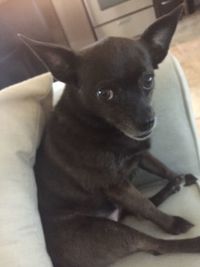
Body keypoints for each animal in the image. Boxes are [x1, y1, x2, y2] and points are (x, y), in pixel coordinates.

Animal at [19, 5, 200, 267]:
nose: (147, 122)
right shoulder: (116, 186)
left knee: (138, 210)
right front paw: (172, 224)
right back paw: (188, 239)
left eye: (148, 79)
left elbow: (161, 168)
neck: (101, 126)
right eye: (104, 94)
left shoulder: (141, 154)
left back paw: (172, 187)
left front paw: (178, 176)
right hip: (108, 231)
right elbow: (147, 208)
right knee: (155, 241)